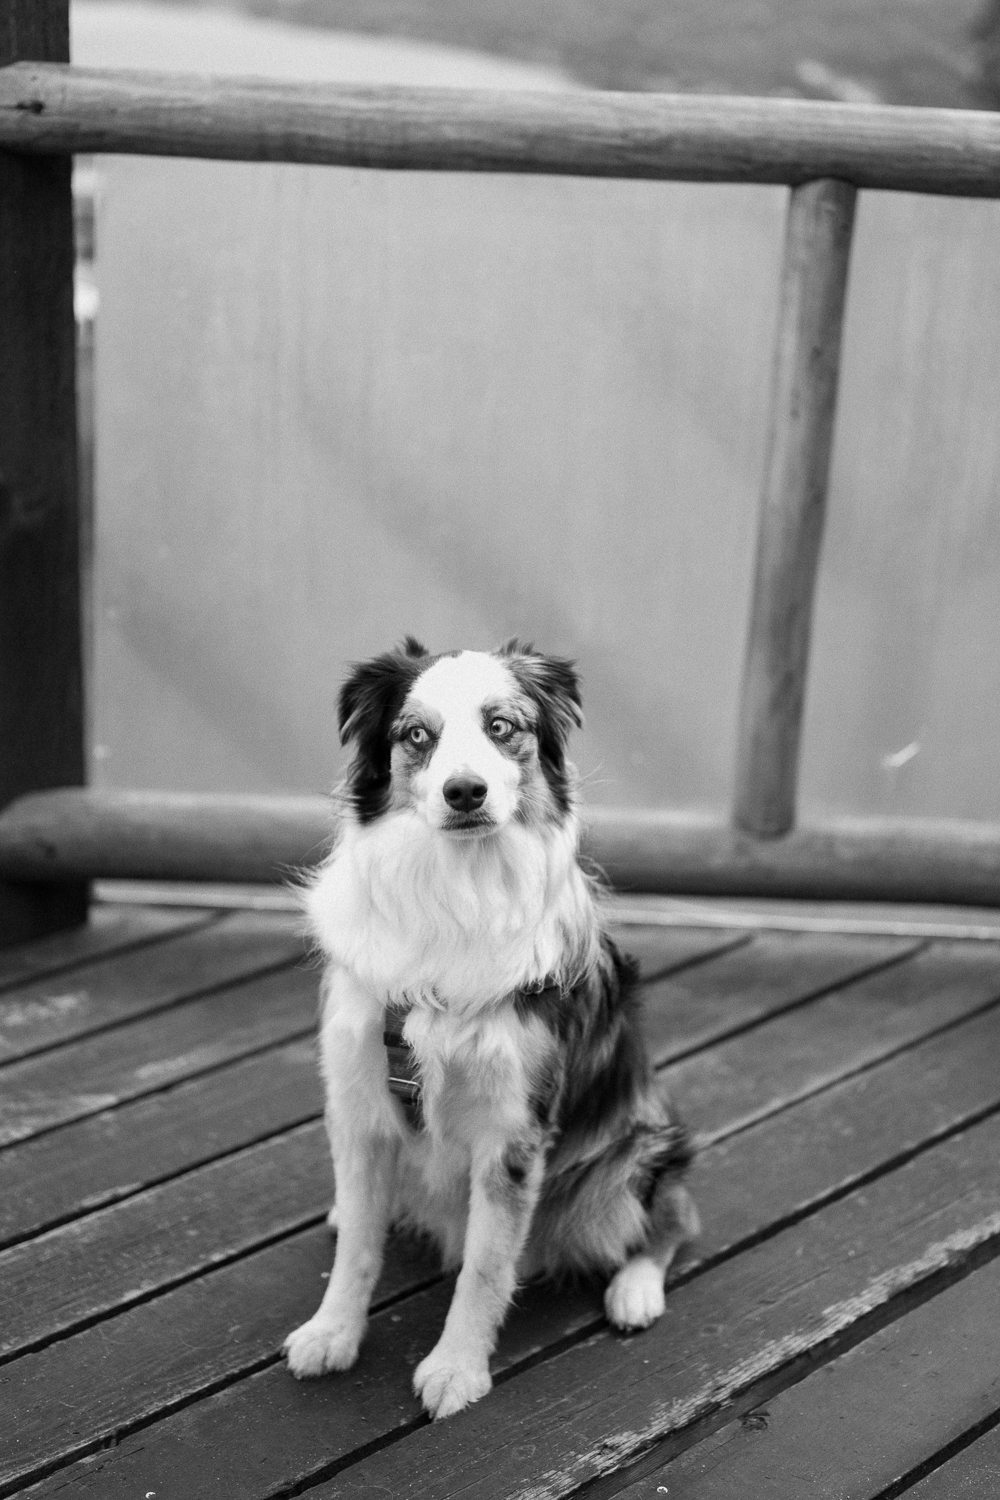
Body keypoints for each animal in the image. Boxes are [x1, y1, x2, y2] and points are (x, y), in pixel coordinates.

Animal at [284, 639, 701, 1422]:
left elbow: (485, 1262)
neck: (457, 891)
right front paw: (332, 1332)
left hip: (632, 1152)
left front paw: (456, 1369)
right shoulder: (358, 1099)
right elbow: (357, 1249)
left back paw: (635, 1290)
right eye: (417, 735)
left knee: (672, 1217)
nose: (465, 793)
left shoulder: (514, 1129)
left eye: (502, 727)